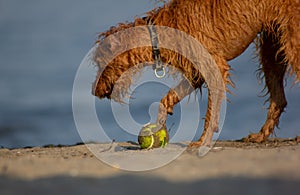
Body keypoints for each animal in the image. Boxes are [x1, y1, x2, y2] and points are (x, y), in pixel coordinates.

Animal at [92, 0, 298, 146]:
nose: (94, 91)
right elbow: (167, 98)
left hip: (292, 45)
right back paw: (260, 135)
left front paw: (202, 141)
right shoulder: (196, 73)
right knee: (279, 100)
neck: (159, 33)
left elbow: (210, 113)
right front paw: (161, 121)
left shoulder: (214, 67)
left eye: (100, 63)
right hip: (271, 50)